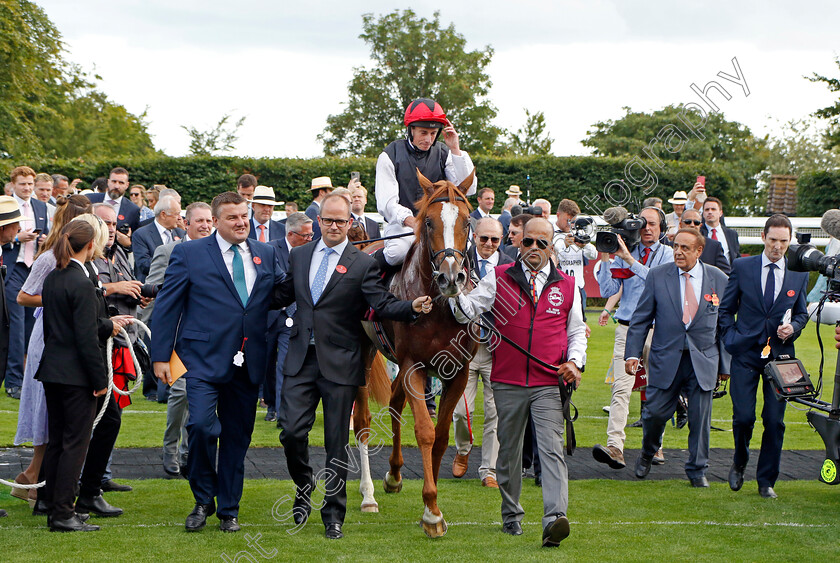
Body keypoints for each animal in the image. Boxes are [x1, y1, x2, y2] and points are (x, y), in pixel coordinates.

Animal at [352, 171, 476, 536]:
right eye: (429, 221)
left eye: (467, 221)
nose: (451, 277)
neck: (439, 308)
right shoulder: (412, 367)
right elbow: (424, 430)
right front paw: (432, 512)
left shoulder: (458, 372)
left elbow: (442, 435)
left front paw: (429, 504)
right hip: (363, 355)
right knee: (362, 423)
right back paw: (368, 495)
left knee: (394, 405)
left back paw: (394, 475)